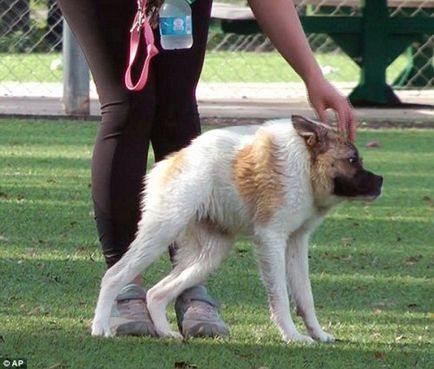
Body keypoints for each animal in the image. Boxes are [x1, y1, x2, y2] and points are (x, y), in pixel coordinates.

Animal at [91, 115, 384, 342]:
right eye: (352, 160)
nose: (381, 180)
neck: (305, 168)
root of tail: (170, 161)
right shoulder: (271, 240)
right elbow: (280, 297)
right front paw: (292, 336)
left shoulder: (296, 244)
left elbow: (305, 296)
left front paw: (318, 334)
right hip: (161, 233)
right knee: (114, 276)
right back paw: (99, 327)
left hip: (208, 256)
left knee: (156, 294)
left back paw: (164, 332)